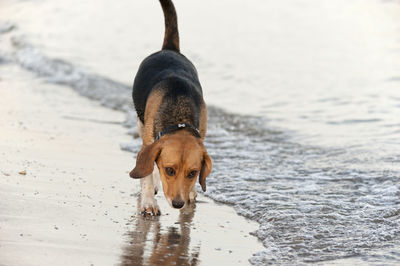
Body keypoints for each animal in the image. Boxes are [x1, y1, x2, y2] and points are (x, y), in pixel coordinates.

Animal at [130, 0, 212, 215]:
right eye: (169, 170)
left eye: (193, 173)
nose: (178, 204)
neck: (179, 117)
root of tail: (170, 49)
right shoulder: (148, 141)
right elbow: (147, 174)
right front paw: (148, 202)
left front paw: (191, 192)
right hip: (141, 124)